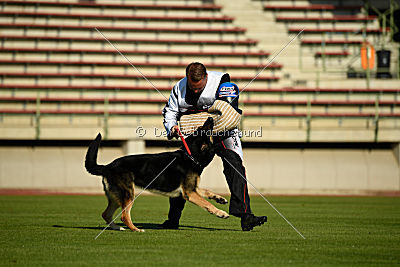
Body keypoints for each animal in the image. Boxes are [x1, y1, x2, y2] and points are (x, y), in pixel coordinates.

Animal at [84, 118, 228, 232]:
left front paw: (220, 198)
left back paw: (117, 228)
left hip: (117, 197)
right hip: (128, 194)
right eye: (203, 129)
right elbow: (207, 204)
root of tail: (107, 166)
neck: (190, 156)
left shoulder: (193, 189)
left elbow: (207, 192)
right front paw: (220, 213)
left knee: (106, 214)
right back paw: (135, 229)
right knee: (124, 216)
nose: (210, 117)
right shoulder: (190, 193)